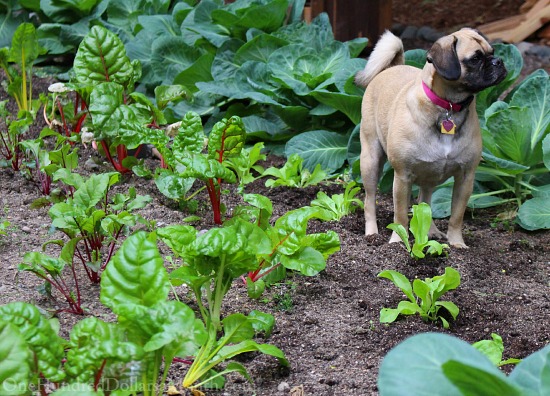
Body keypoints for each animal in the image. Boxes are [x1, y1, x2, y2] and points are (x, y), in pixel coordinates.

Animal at [358, 29, 508, 248]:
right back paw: (372, 233)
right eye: (475, 59)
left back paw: (432, 231)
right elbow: (400, 216)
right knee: (370, 200)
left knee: (425, 201)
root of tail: (392, 67)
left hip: (430, 175)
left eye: (493, 52)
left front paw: (456, 243)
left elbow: (456, 216)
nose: (498, 61)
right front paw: (398, 241)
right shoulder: (402, 176)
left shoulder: (466, 178)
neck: (449, 107)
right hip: (370, 161)